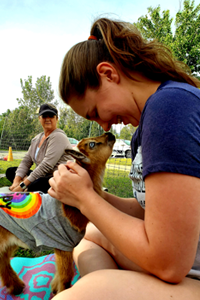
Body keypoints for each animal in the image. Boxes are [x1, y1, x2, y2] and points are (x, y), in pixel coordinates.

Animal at [0, 132, 115, 296]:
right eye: (92, 144)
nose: (110, 134)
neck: (69, 208)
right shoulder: (62, 243)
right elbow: (66, 276)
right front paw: (61, 292)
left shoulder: (65, 245)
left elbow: (61, 273)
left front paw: (54, 288)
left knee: (3, 259)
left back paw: (15, 287)